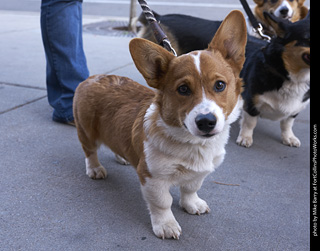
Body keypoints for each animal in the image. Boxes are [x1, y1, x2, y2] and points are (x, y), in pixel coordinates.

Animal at [74, 10, 248, 239]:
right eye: (183, 89)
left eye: (220, 85)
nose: (206, 122)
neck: (192, 144)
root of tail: (92, 77)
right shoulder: (153, 177)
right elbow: (162, 203)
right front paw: (166, 225)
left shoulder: (197, 175)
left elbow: (191, 188)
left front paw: (192, 204)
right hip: (86, 131)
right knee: (90, 151)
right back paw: (95, 169)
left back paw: (122, 157)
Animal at [236, 11, 308, 148]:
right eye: (307, 37)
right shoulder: (251, 102)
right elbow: (250, 123)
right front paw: (245, 138)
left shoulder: (294, 110)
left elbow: (287, 124)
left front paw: (289, 137)